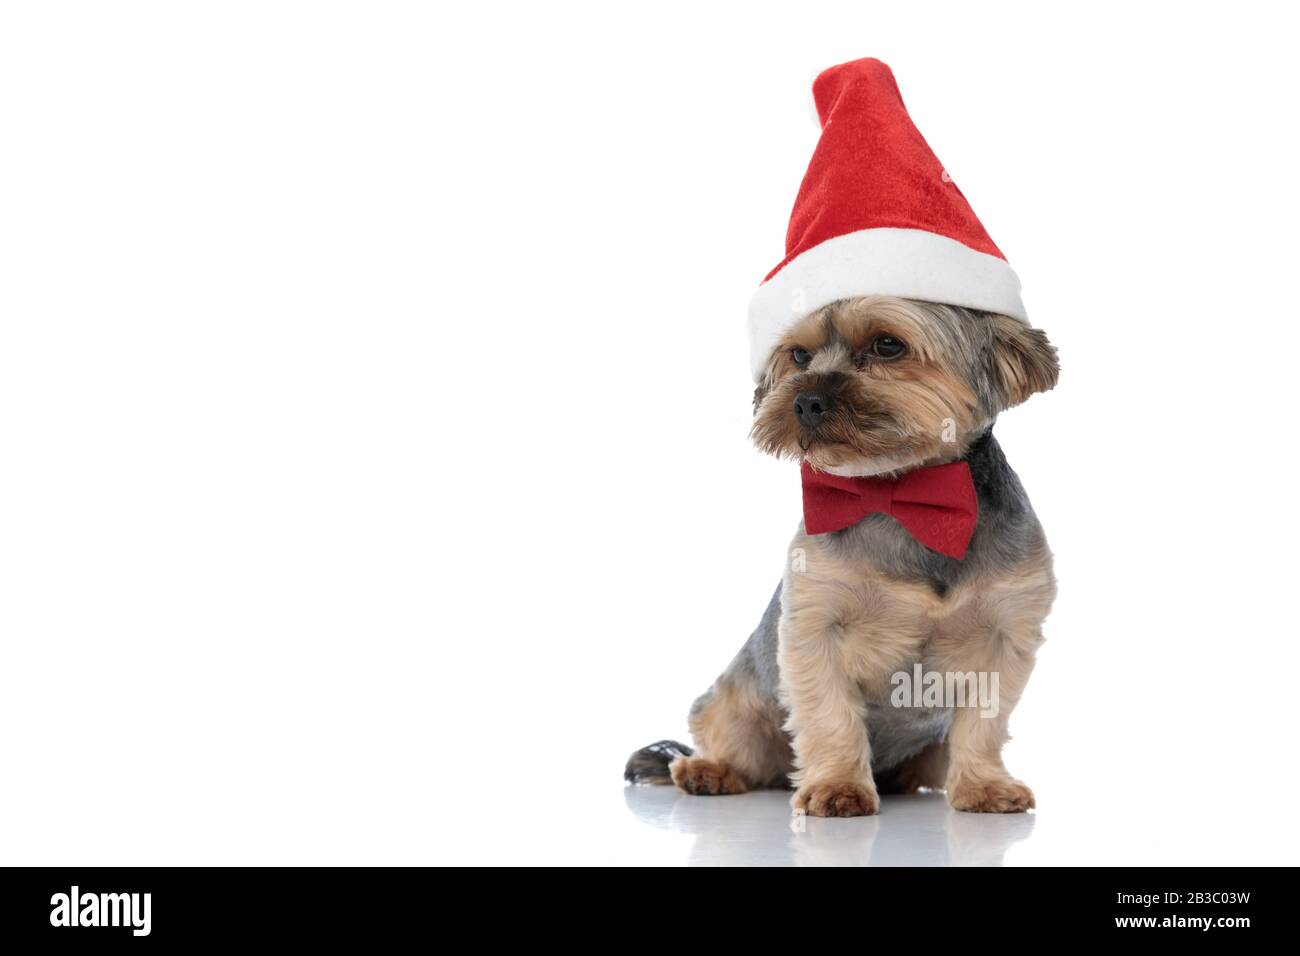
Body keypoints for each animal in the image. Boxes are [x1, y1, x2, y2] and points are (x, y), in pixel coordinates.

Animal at [624, 297, 1060, 816]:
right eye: (798, 355)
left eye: (887, 345)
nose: (805, 402)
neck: (901, 494)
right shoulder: (817, 624)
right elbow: (829, 715)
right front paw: (838, 786)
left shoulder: (1006, 631)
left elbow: (984, 723)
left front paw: (985, 786)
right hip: (736, 698)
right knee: (738, 746)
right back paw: (709, 771)